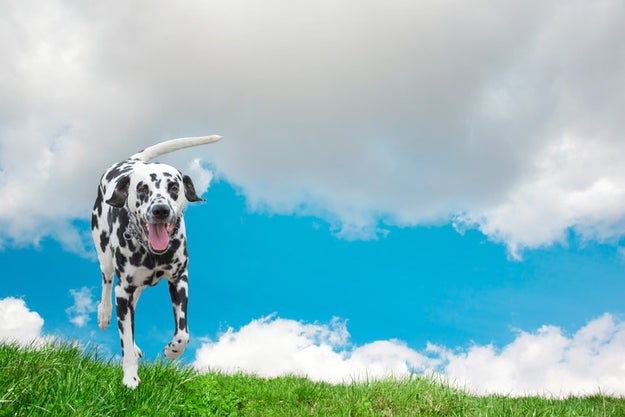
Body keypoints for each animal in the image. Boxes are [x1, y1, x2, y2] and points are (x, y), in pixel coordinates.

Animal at [91, 136, 221, 386]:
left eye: (174, 187)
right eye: (142, 188)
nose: (160, 210)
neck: (152, 252)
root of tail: (129, 161)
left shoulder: (179, 280)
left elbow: (183, 333)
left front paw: (173, 350)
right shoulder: (123, 290)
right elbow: (125, 341)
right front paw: (130, 378)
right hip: (104, 256)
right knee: (106, 282)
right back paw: (104, 313)